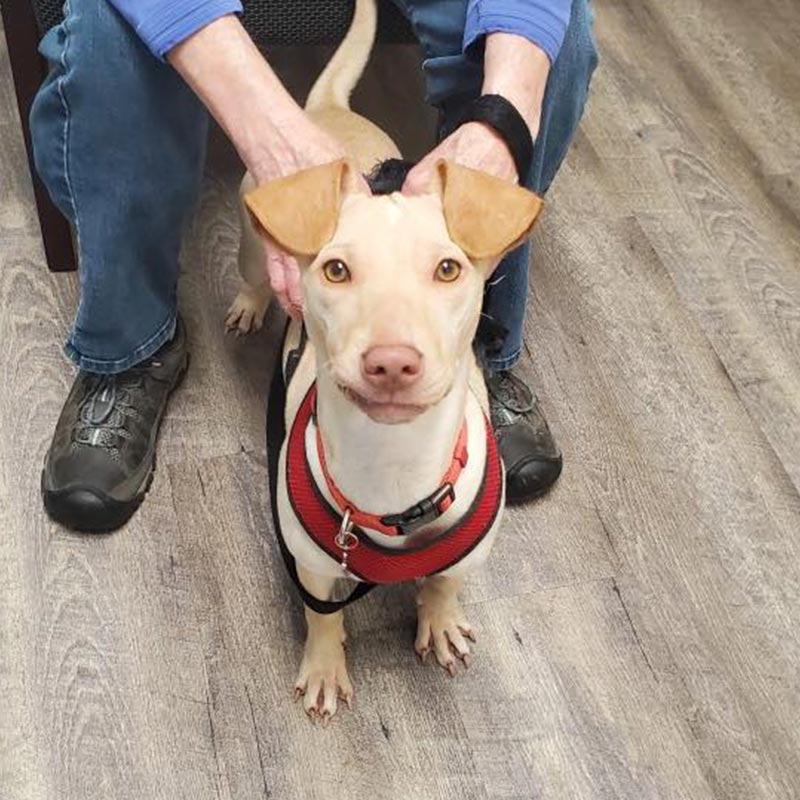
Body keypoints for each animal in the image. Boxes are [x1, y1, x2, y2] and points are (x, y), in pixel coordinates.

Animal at [228, 0, 540, 720]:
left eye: (449, 269)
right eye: (336, 270)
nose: (392, 363)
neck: (394, 467)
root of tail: (327, 110)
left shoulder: (466, 556)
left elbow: (444, 584)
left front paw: (441, 621)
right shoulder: (313, 565)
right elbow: (323, 617)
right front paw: (324, 668)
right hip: (256, 244)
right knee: (254, 274)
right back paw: (251, 304)